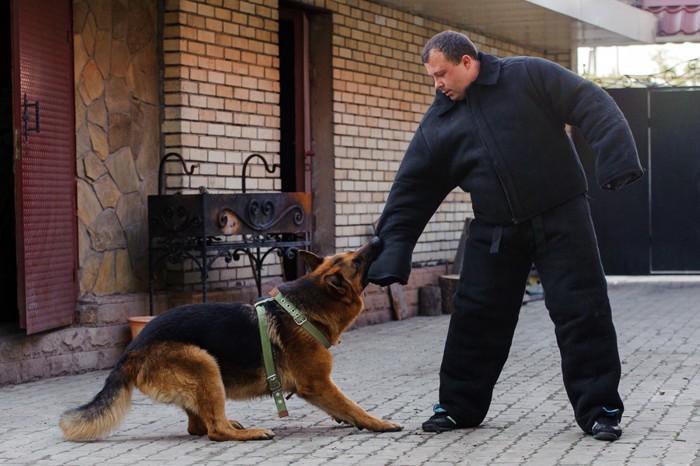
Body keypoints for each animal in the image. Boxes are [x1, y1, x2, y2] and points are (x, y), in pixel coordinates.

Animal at [61, 238, 400, 442]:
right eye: (356, 262)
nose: (377, 240)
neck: (304, 309)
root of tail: (131, 350)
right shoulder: (317, 384)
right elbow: (353, 405)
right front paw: (378, 422)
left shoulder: (318, 387)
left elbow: (343, 408)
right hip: (204, 363)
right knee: (214, 430)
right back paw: (252, 432)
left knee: (198, 426)